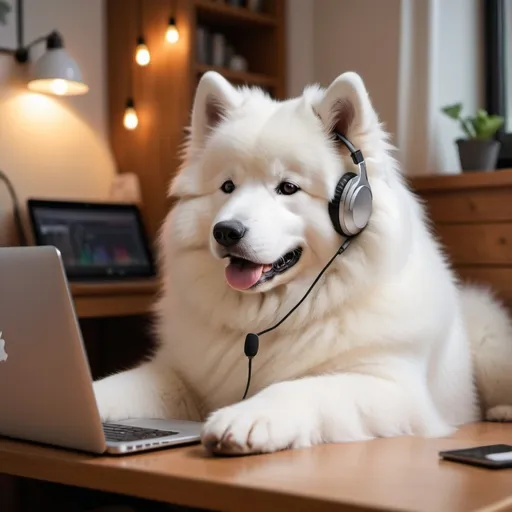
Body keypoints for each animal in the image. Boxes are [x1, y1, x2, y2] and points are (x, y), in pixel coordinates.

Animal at [93, 69, 512, 456]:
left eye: (287, 188)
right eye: (227, 187)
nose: (226, 231)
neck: (268, 322)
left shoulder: (392, 387)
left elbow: (302, 388)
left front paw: (246, 418)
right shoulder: (183, 376)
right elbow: (120, 384)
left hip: (490, 347)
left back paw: (500, 411)